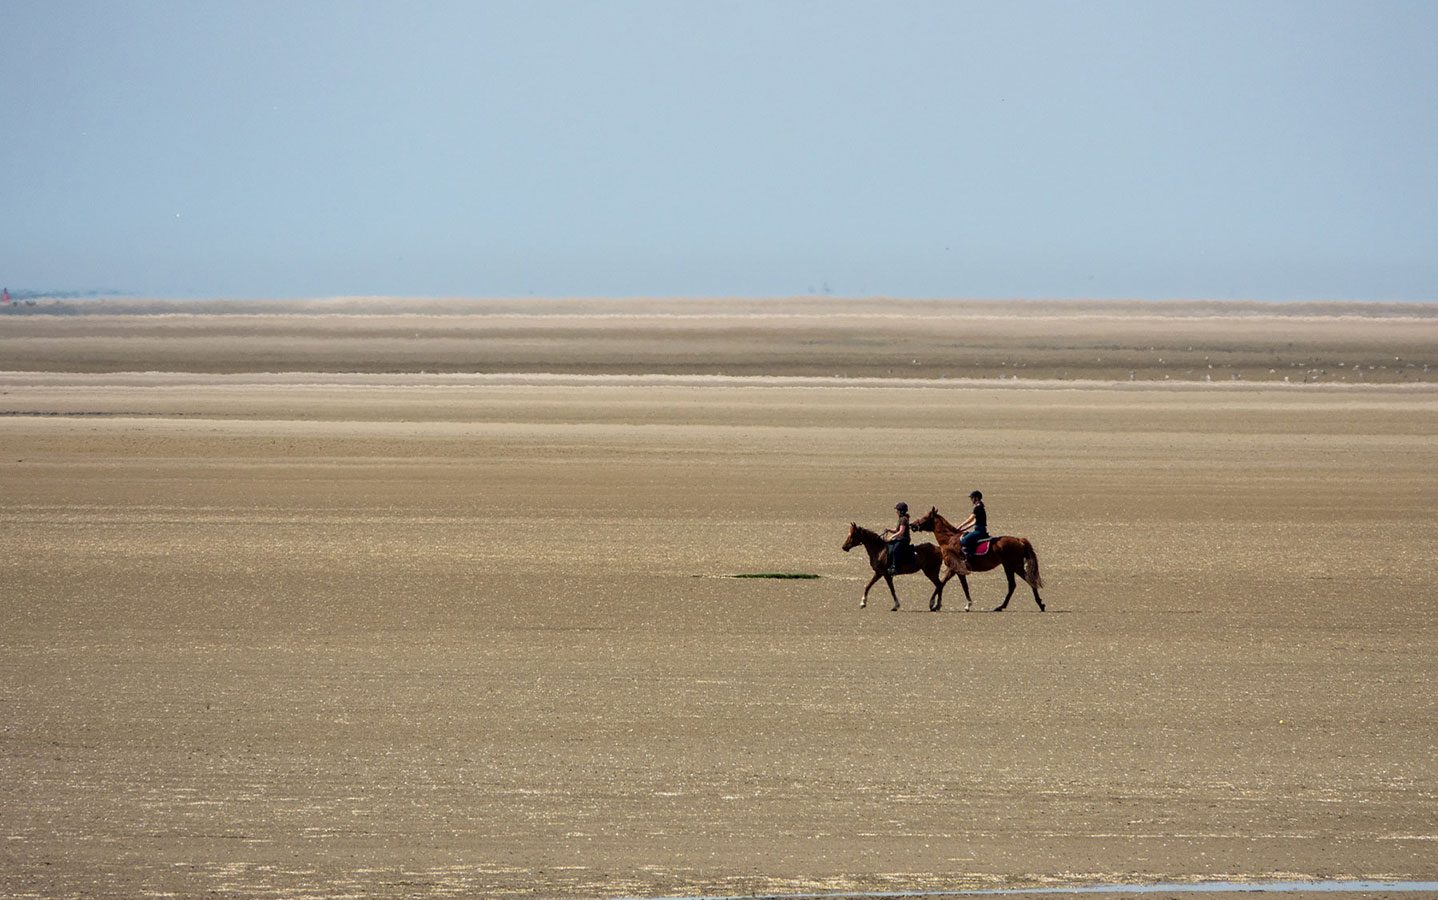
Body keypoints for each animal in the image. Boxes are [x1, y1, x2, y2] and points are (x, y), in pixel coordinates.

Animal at [909, 507, 1045, 612]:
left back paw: (1040, 604)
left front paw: (933, 604)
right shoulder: (954, 569)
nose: (912, 525)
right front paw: (936, 605)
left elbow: (951, 585)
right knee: (1012, 585)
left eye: (925, 517)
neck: (949, 540)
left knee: (1028, 580)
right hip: (1008, 566)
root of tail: (1019, 540)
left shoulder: (956, 568)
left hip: (1015, 566)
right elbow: (944, 583)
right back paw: (1001, 607)